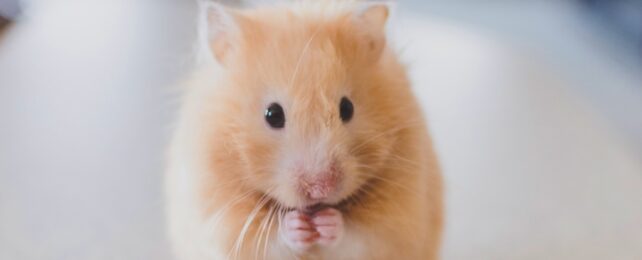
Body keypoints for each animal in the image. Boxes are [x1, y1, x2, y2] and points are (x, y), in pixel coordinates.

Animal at [165, 1, 440, 258]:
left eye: (347, 108)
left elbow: (356, 236)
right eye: (273, 115)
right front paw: (296, 226)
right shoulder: (221, 219)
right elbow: (270, 239)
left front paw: (328, 222)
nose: (320, 189)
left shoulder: (394, 224)